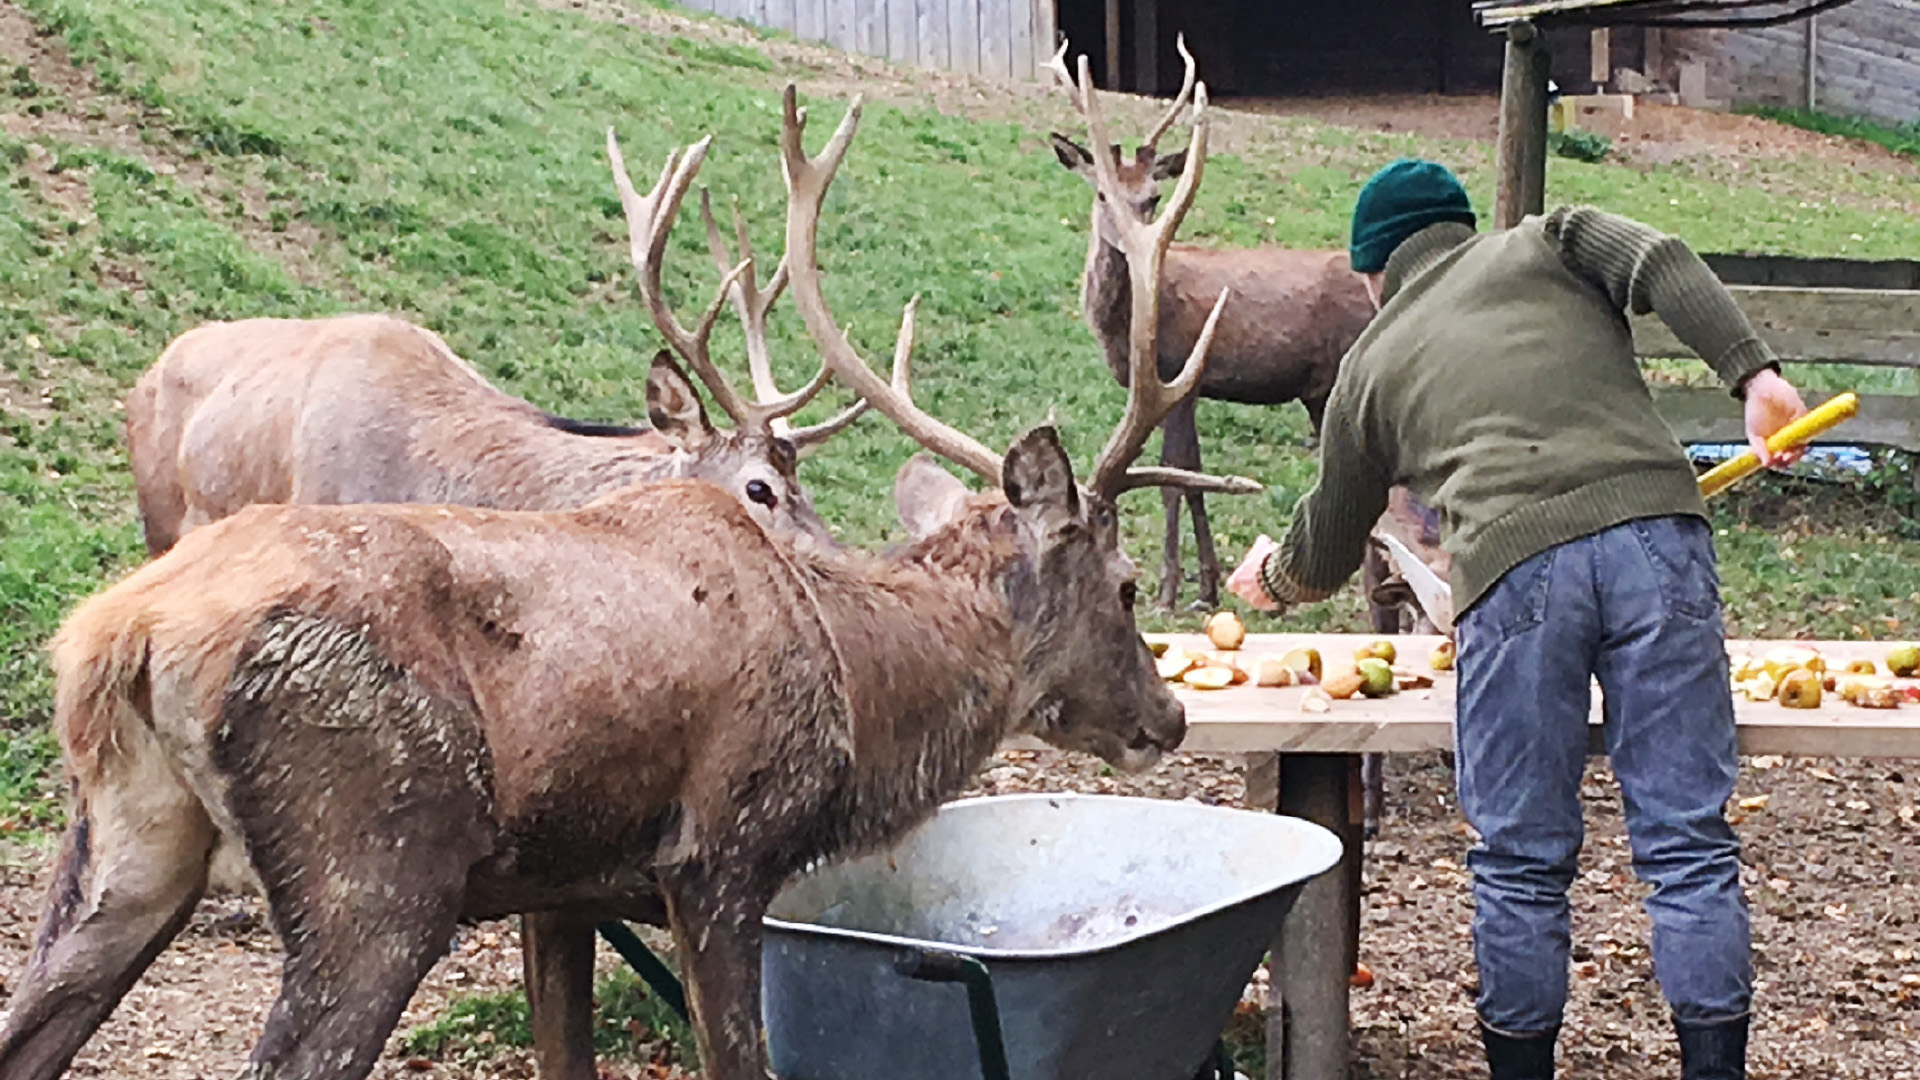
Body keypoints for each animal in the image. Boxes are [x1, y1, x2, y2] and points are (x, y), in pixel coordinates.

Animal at [0, 82, 1251, 1076]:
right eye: (1126, 584)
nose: (1170, 714)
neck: (862, 694)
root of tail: (120, 635)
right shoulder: (724, 856)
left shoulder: (557, 892)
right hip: (374, 867)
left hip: (120, 853)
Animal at [1044, 35, 1374, 607]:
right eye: (1102, 192)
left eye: (1154, 197)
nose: (1131, 245)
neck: (1118, 328)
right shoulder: (1188, 387)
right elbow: (1191, 471)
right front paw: (1208, 584)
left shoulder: (1178, 372)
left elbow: (1173, 477)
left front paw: (1171, 588)